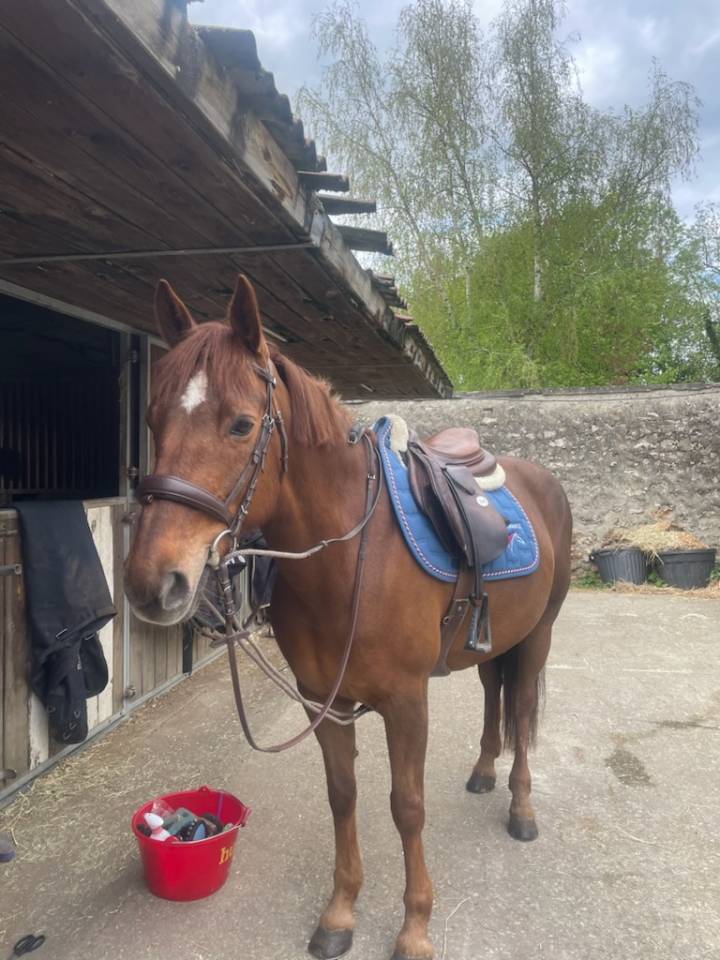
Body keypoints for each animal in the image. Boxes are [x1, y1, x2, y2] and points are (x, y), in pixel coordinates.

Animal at [124, 275, 573, 960]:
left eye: (241, 424)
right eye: (152, 419)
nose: (153, 582)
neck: (347, 559)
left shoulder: (407, 701)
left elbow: (406, 806)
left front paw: (415, 927)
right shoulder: (322, 699)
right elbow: (343, 797)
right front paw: (340, 912)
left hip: (539, 634)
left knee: (521, 709)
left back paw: (521, 809)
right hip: (495, 641)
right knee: (493, 693)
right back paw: (482, 771)